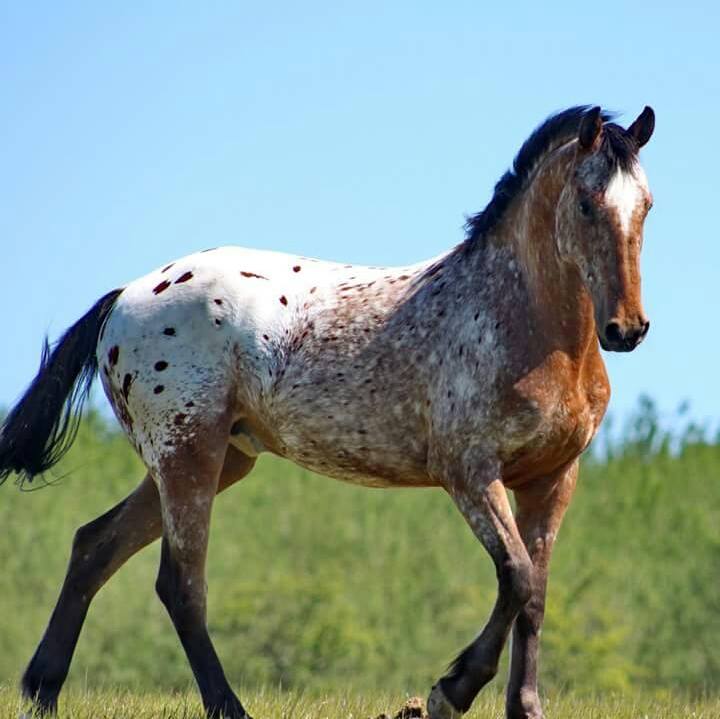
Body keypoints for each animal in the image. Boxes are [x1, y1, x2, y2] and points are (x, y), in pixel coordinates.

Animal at [0, 105, 652, 719]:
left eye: (645, 205)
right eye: (587, 204)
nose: (627, 329)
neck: (514, 318)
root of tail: (126, 296)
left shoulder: (550, 480)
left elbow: (535, 595)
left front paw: (525, 708)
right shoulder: (469, 474)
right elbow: (514, 577)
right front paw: (450, 692)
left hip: (216, 460)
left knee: (94, 546)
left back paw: (42, 691)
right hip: (189, 457)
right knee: (180, 584)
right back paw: (228, 706)